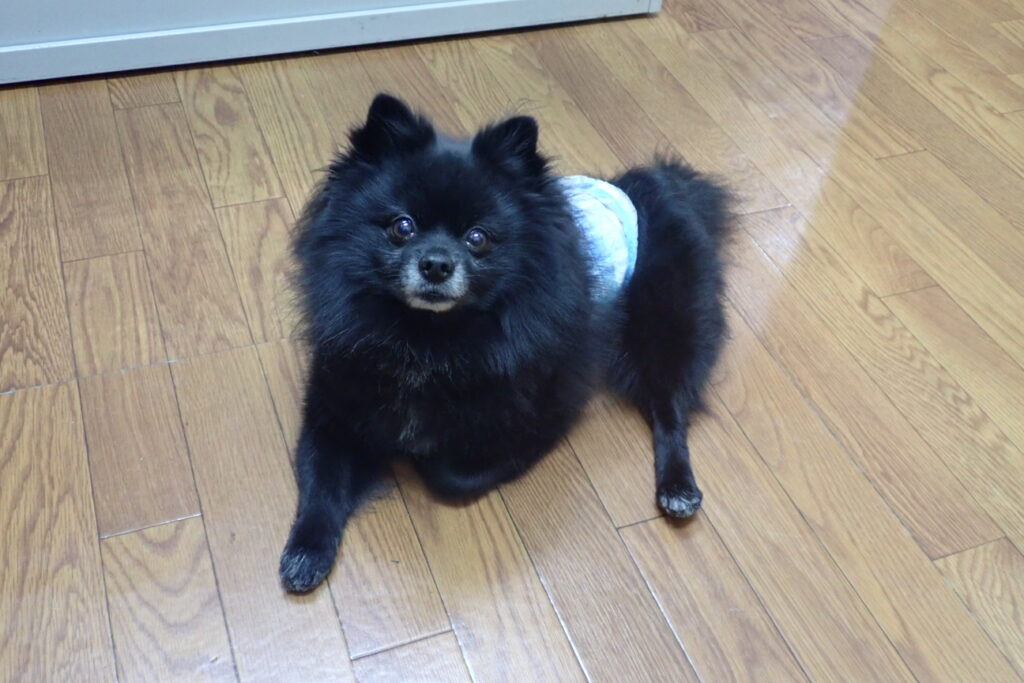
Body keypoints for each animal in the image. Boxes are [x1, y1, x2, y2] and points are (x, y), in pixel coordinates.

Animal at [279, 94, 730, 592]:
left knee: (670, 408)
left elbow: (451, 474)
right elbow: (319, 483)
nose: (436, 263)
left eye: (478, 238)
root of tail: (653, 185)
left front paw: (421, 455)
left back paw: (678, 487)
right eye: (402, 227)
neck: (428, 336)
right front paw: (306, 551)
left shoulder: (544, 418)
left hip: (665, 326)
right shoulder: (333, 405)